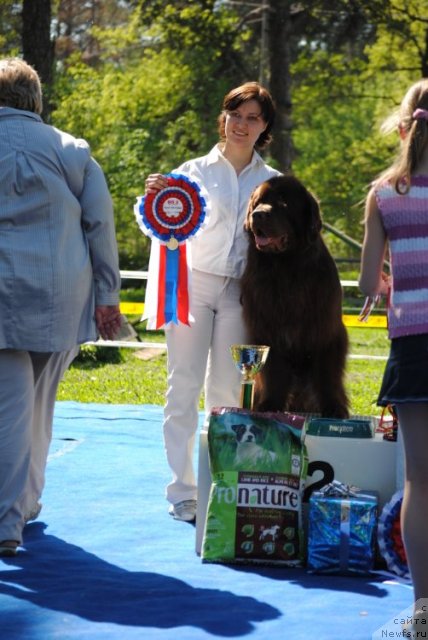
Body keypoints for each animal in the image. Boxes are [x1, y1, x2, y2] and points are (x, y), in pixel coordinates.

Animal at [239, 174, 350, 420]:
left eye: (284, 203)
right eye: (258, 202)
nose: (257, 214)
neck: (286, 266)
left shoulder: (325, 328)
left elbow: (326, 372)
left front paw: (333, 408)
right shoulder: (267, 329)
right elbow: (274, 371)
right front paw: (269, 405)